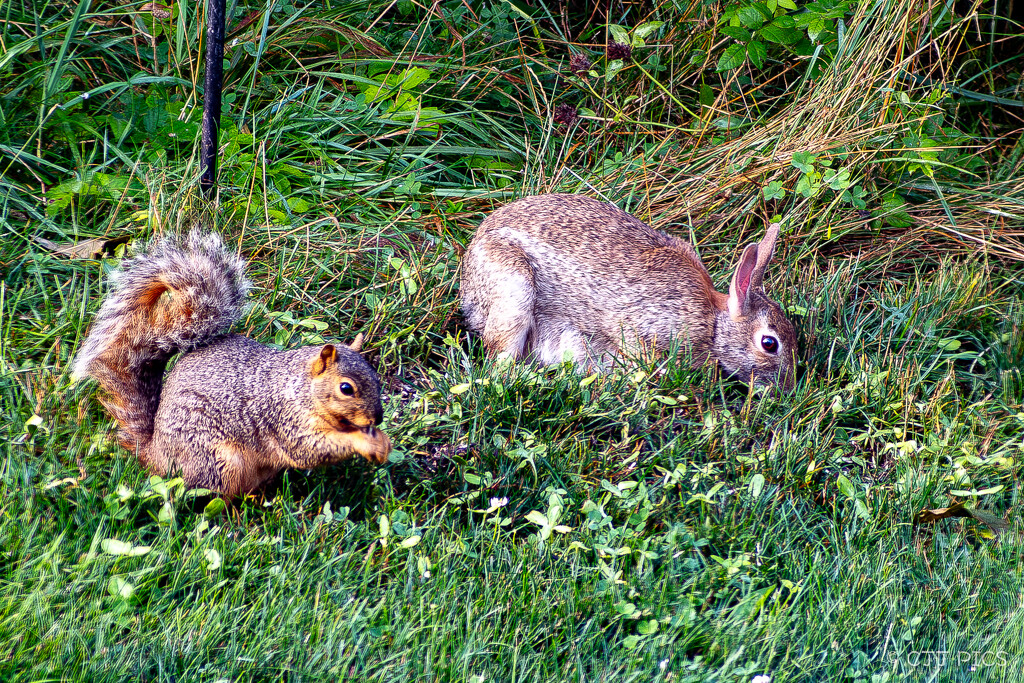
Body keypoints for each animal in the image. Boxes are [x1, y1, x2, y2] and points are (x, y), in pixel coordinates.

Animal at [72, 231, 391, 497]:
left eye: (376, 378)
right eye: (346, 388)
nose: (376, 418)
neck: (299, 389)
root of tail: (156, 454)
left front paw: (381, 439)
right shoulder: (284, 420)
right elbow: (310, 449)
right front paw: (366, 442)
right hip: (218, 461)